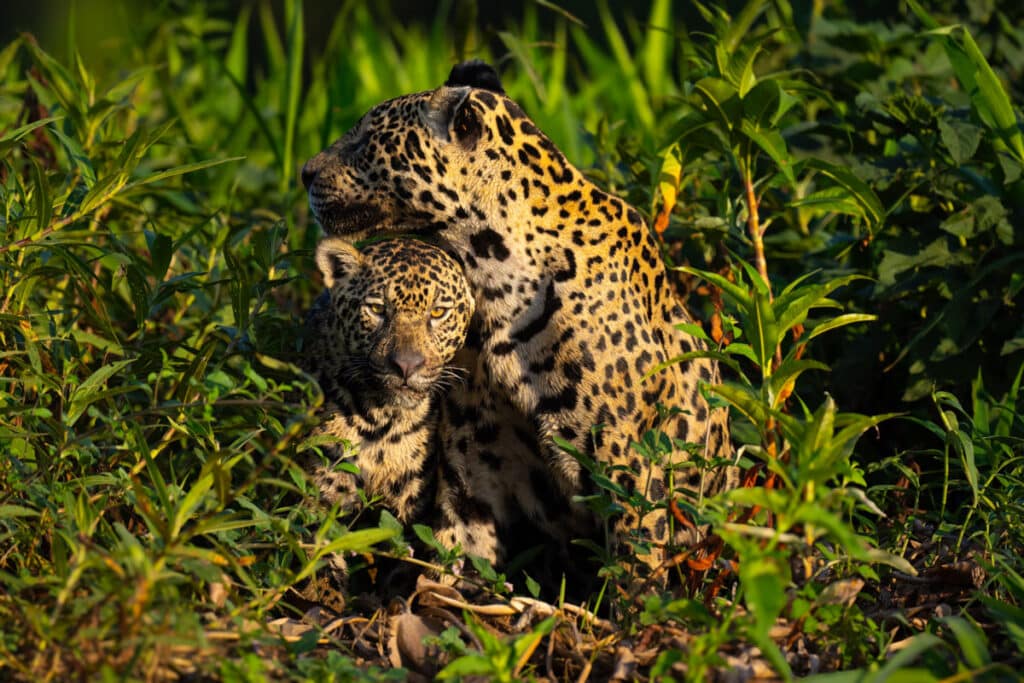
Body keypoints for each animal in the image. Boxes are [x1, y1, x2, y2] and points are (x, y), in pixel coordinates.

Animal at [301, 60, 737, 578]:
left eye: (366, 139)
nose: (304, 172)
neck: (494, 276)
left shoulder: (632, 462)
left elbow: (636, 558)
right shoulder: (473, 459)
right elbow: (461, 547)